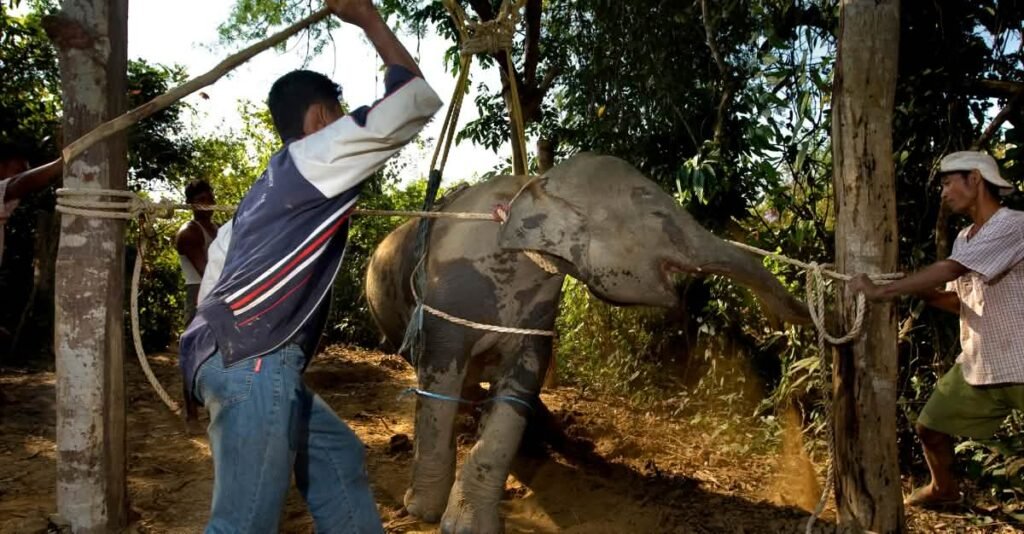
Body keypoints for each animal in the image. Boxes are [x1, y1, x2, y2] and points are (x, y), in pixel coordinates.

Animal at [365, 153, 809, 533]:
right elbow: (438, 384)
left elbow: (518, 391)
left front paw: (469, 524)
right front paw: (422, 511)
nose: (800, 319)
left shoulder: (539, 313)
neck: (532, 185)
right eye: (658, 214)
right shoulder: (445, 300)